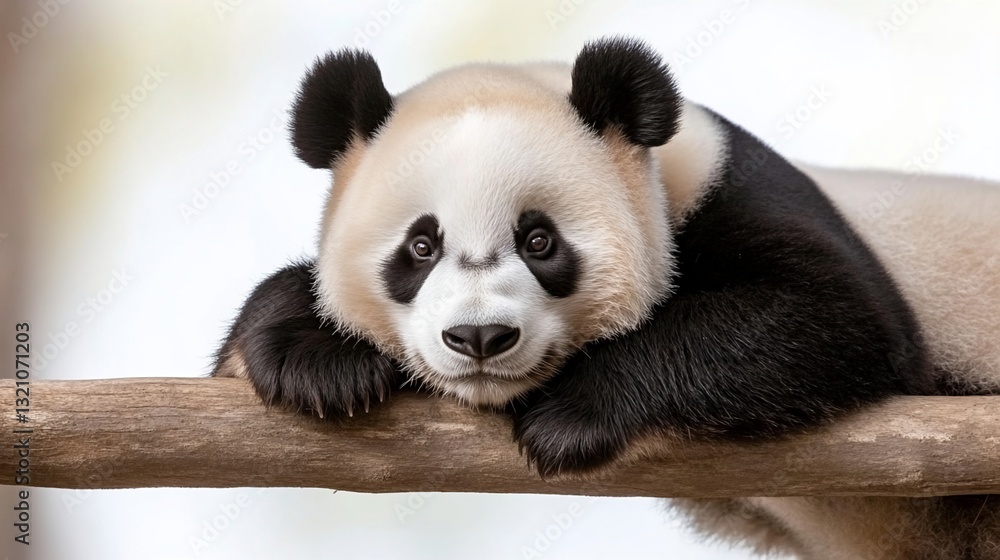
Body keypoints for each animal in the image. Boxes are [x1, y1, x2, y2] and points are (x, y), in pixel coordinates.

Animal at [213, 38, 1000, 559]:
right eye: (421, 246)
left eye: (539, 240)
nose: (480, 339)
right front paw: (319, 359)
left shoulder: (731, 190)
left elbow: (830, 316)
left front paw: (571, 415)